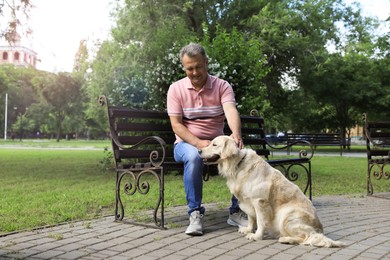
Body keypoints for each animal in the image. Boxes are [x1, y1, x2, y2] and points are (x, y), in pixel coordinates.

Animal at [200, 135, 346, 247]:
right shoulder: (248, 201)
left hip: (286, 216)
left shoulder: (259, 201)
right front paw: (248, 229)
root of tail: (320, 229)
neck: (237, 165)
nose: (199, 151)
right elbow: (251, 219)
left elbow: (260, 221)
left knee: (307, 237)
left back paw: (286, 239)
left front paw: (256, 236)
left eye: (214, 144)